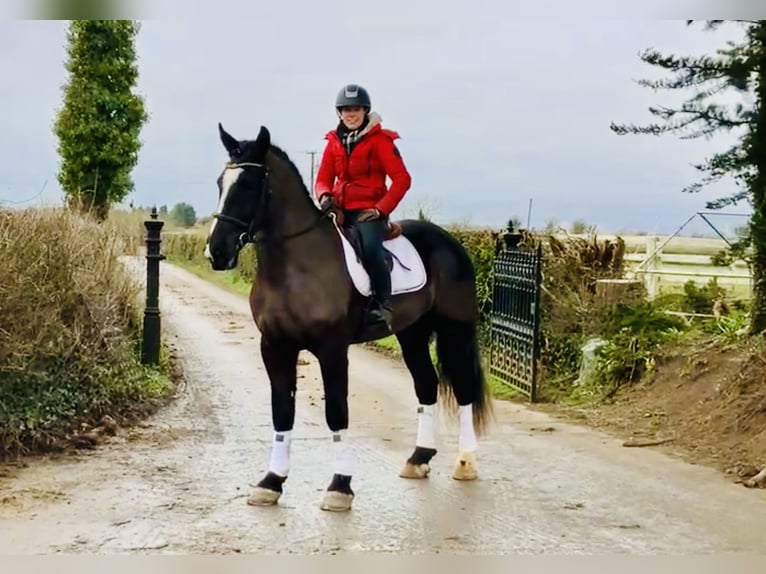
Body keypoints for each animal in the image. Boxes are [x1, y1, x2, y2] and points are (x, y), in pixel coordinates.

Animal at [206, 122, 492, 512]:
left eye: (249, 184)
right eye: (221, 182)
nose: (216, 252)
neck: (295, 266)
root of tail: (450, 242)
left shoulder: (332, 349)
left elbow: (336, 412)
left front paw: (340, 486)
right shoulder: (275, 346)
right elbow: (282, 411)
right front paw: (271, 482)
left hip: (454, 331)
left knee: (463, 389)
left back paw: (465, 463)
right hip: (411, 334)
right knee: (426, 384)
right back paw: (418, 458)